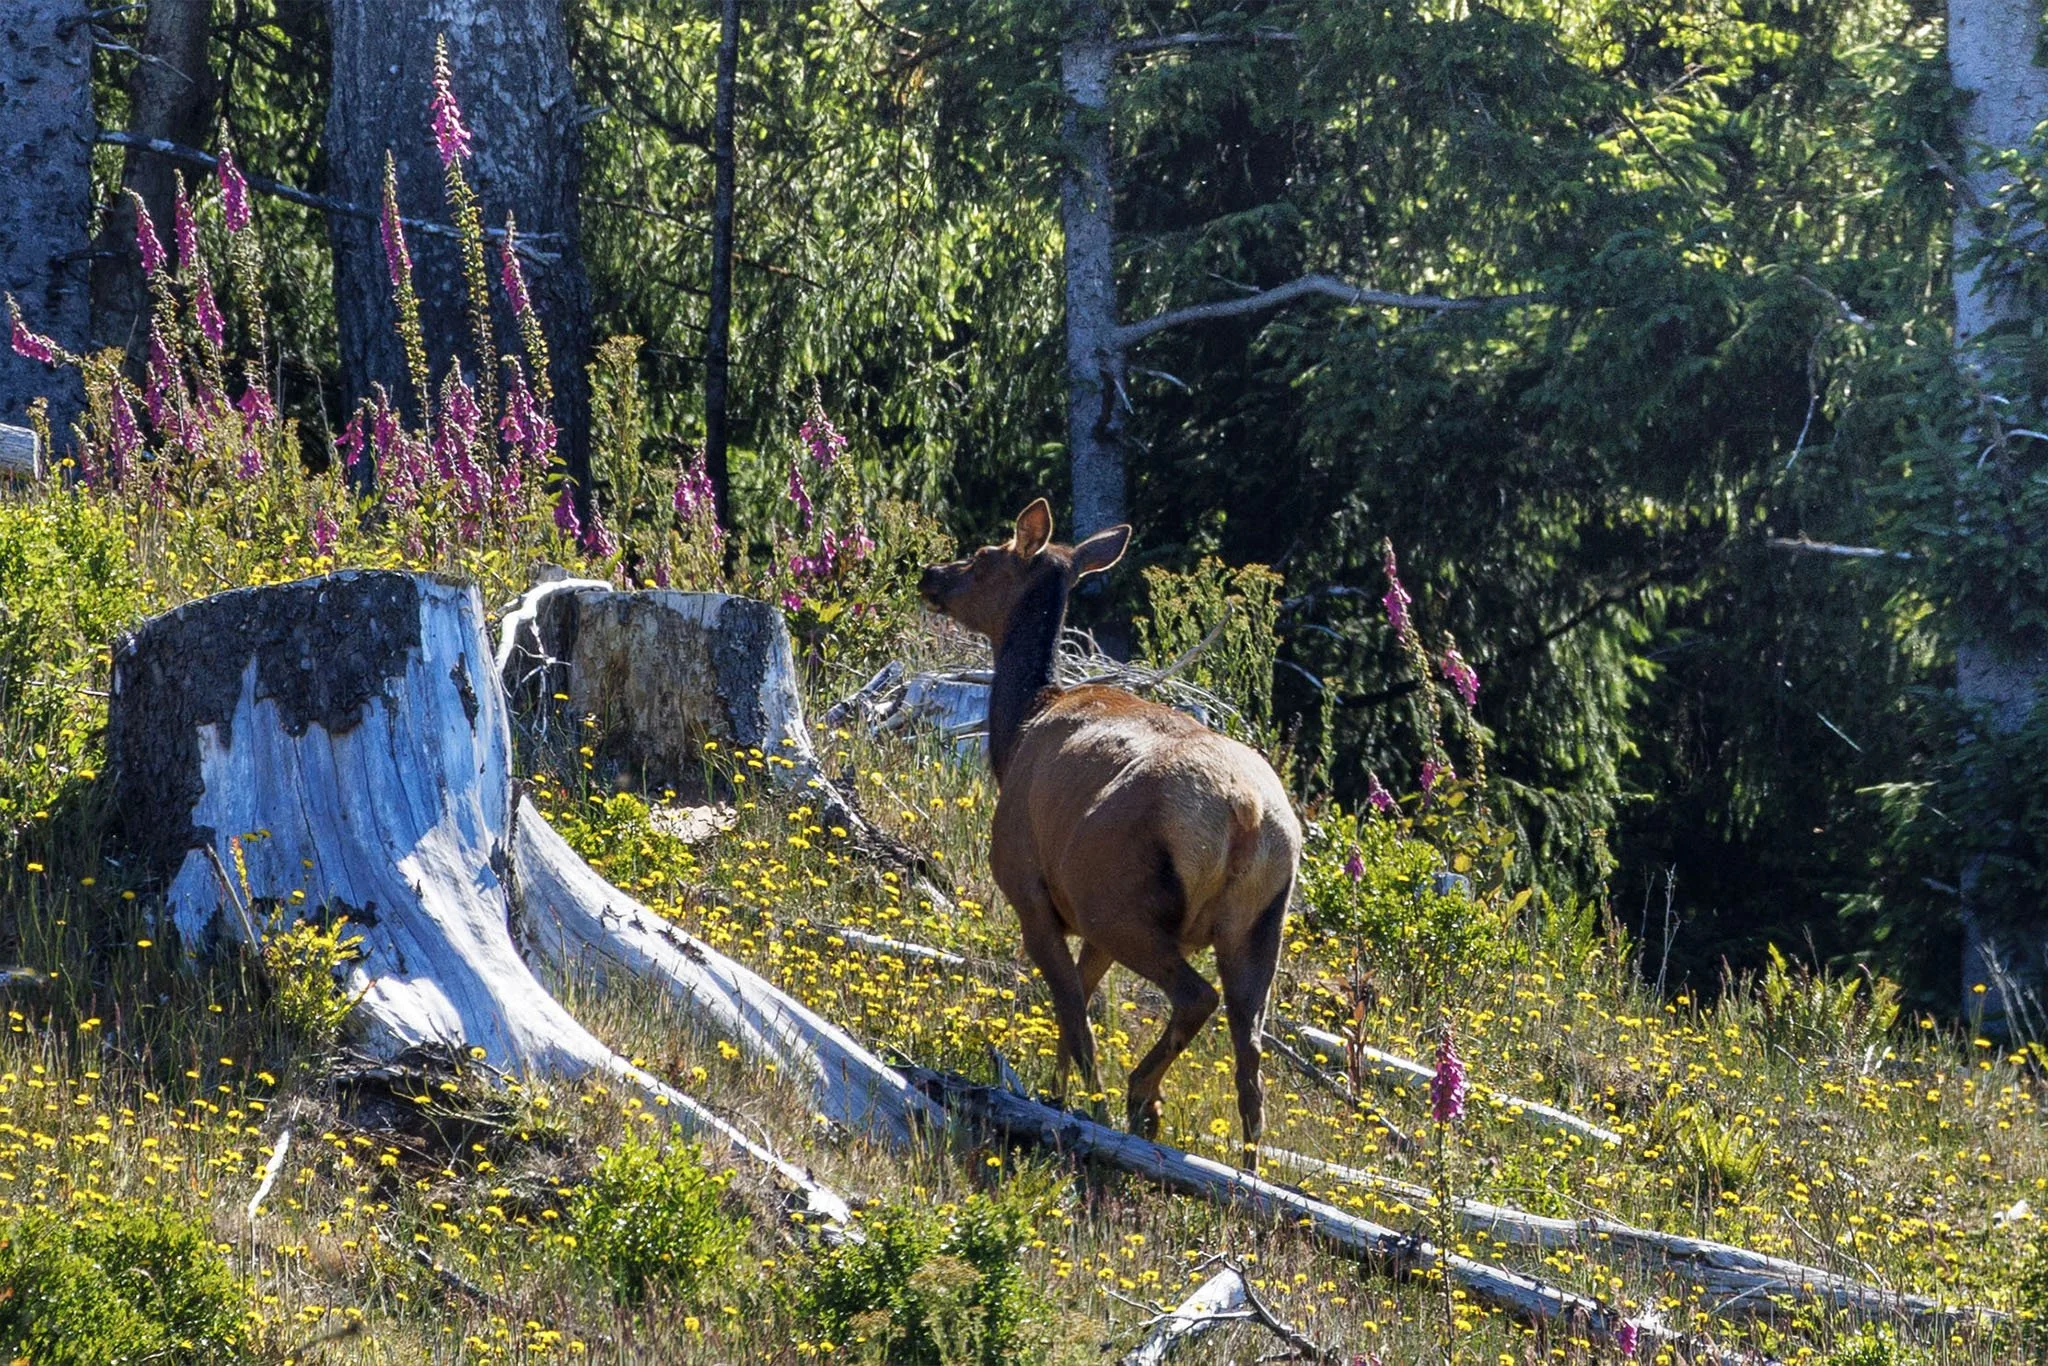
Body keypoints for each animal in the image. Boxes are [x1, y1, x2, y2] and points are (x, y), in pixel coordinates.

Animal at [919, 498, 1302, 1166]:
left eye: (986, 556)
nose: (931, 575)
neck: (1016, 732)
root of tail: (1247, 815)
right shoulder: (1082, 921)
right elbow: (1076, 1002)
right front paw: (1055, 1092)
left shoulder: (1031, 891)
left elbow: (1073, 1012)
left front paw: (1070, 1104)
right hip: (1260, 923)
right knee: (1251, 1055)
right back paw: (1247, 1170)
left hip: (1120, 900)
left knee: (1195, 998)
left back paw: (1138, 1097)